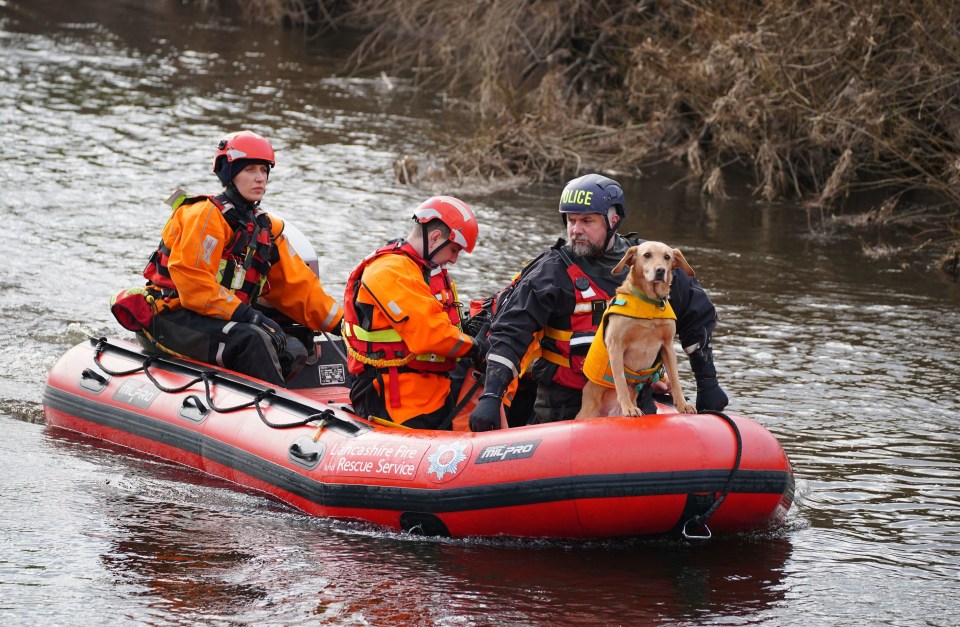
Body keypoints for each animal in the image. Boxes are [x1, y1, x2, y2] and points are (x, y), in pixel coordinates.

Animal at [572, 243, 692, 420]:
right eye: (647, 255)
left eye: (667, 257)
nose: (660, 270)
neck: (650, 306)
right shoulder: (615, 345)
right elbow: (621, 380)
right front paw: (628, 408)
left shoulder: (668, 346)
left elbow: (675, 380)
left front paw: (683, 405)